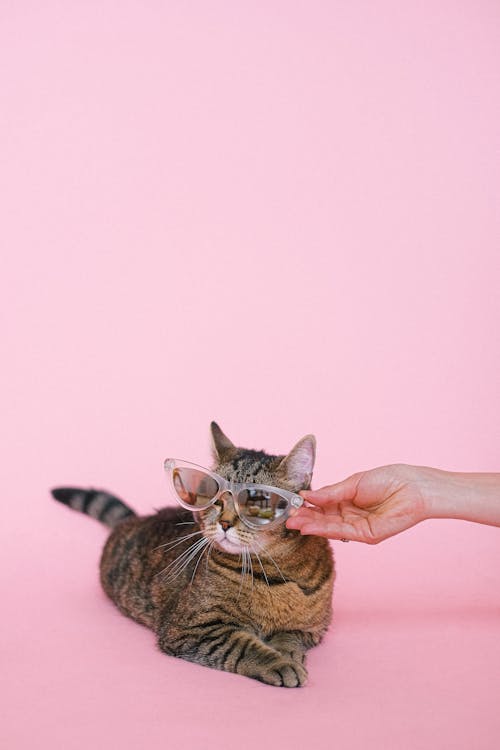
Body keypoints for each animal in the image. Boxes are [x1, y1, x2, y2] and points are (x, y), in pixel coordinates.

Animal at [50, 424, 334, 688]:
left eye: (258, 501)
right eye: (216, 499)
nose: (224, 523)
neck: (276, 571)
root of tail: (136, 519)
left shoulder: (311, 628)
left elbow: (289, 638)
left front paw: (288, 653)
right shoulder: (192, 627)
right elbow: (243, 646)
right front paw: (279, 663)